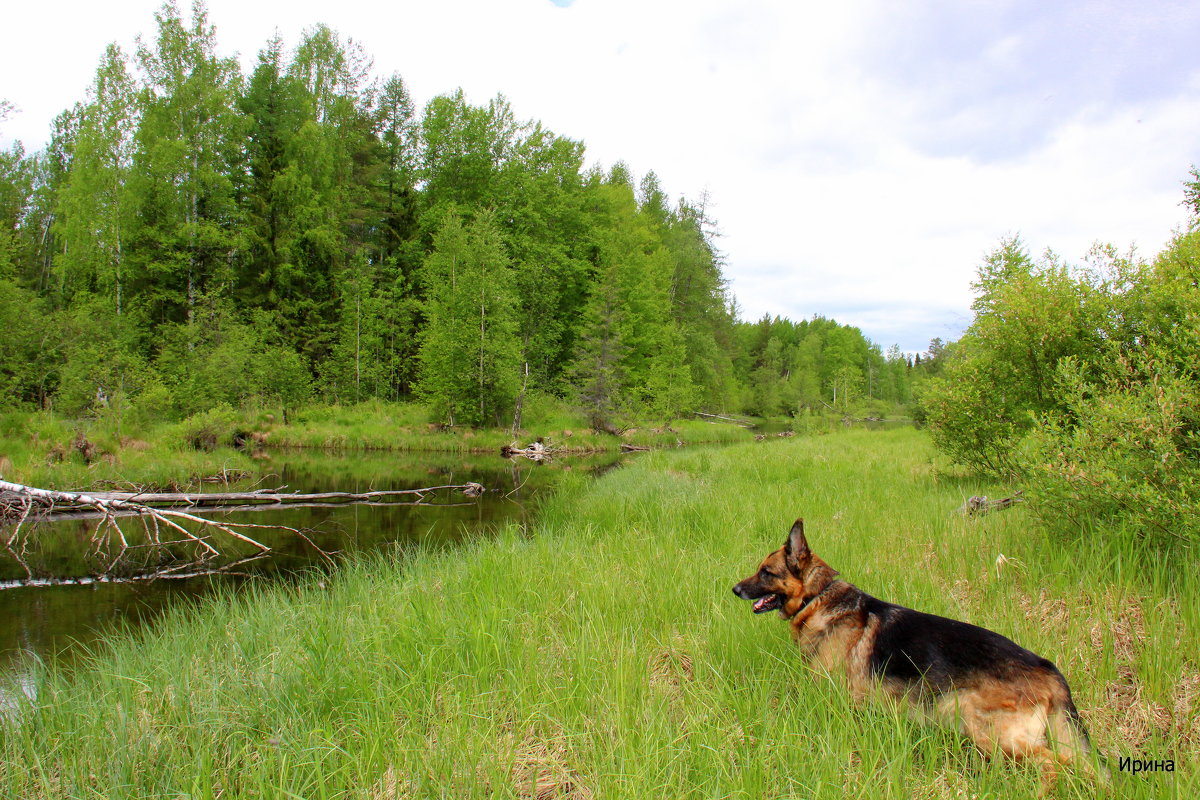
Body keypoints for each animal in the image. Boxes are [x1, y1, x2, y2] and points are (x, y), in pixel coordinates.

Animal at [729, 520, 1104, 782]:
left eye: (766, 572)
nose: (734, 589)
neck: (817, 597)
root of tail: (1049, 669)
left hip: (976, 720)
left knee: (1057, 765)